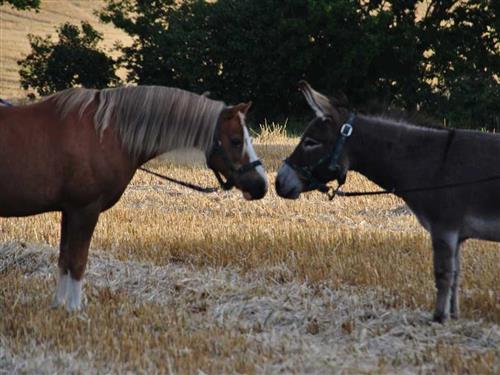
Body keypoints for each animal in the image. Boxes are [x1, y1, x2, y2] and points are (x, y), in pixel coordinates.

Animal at [0, 85, 270, 312]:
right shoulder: (84, 210)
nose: (261, 186)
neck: (106, 134)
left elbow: (64, 259)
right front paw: (74, 311)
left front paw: (59, 306)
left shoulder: (69, 211)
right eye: (236, 140)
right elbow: (77, 261)